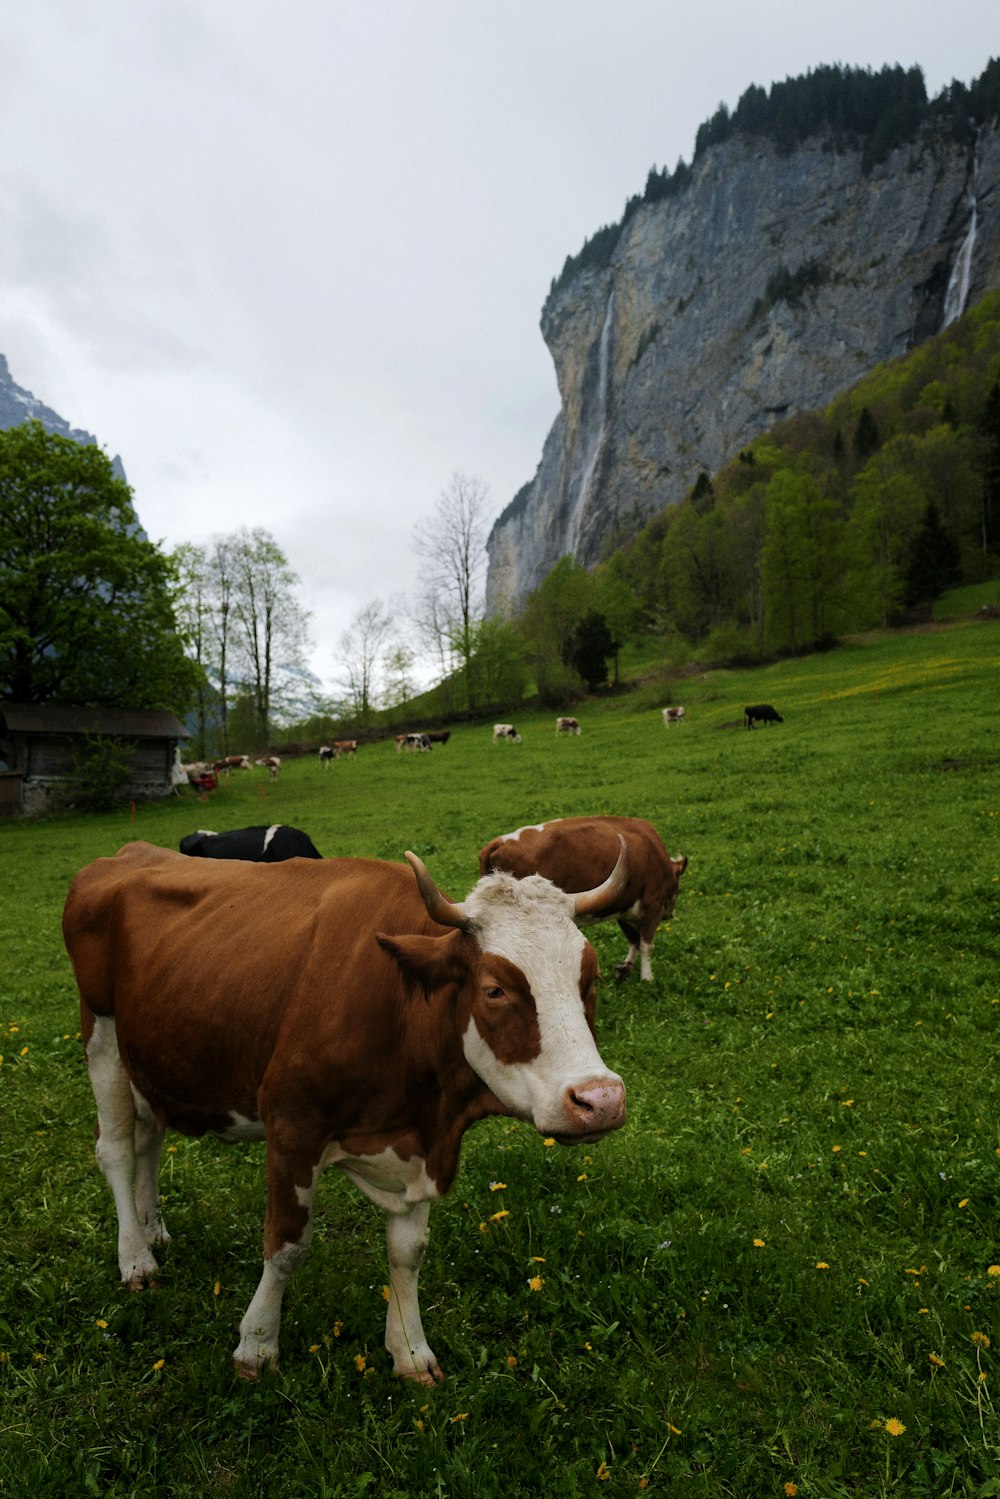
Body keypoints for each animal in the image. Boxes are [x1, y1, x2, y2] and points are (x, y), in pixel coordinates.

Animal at [62, 839, 626, 1385]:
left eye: (591, 979)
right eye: (494, 989)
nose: (600, 1100)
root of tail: (129, 853)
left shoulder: (421, 1143)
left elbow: (408, 1251)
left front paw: (410, 1351)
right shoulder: (291, 1126)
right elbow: (286, 1245)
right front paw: (257, 1344)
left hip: (152, 1055)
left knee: (150, 1138)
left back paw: (152, 1229)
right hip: (103, 1034)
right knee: (117, 1149)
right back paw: (136, 1257)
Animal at [479, 821, 689, 983]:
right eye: (678, 880)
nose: (671, 914)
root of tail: (497, 842)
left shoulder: (623, 908)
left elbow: (633, 941)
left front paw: (625, 967)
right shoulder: (652, 906)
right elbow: (646, 945)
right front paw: (647, 978)